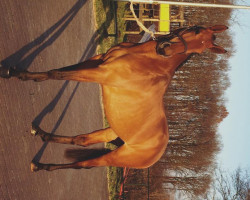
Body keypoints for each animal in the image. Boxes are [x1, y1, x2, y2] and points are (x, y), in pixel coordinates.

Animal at [0, 25, 228, 172]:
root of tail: (157, 153)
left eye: (198, 50)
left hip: (115, 157)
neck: (148, 60)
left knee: (83, 165)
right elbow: (60, 70)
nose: (165, 48)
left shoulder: (99, 73)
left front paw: (17, 74)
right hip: (112, 131)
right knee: (81, 140)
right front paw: (19, 73)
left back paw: (40, 165)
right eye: (196, 33)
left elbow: (56, 74)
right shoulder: (97, 61)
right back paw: (40, 133)